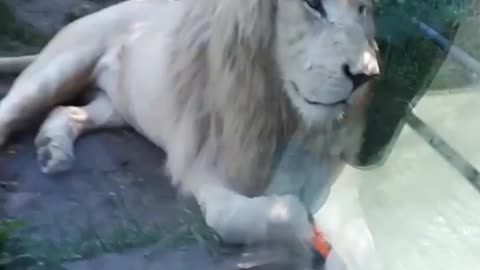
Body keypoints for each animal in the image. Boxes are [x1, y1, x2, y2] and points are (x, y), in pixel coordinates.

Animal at [0, 0, 380, 268]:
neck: (289, 115)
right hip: (57, 70)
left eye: (362, 9)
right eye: (313, 4)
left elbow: (362, 231)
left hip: (117, 106)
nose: (366, 75)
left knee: (67, 112)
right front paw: (309, 237)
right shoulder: (204, 168)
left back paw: (53, 150)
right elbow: (264, 214)